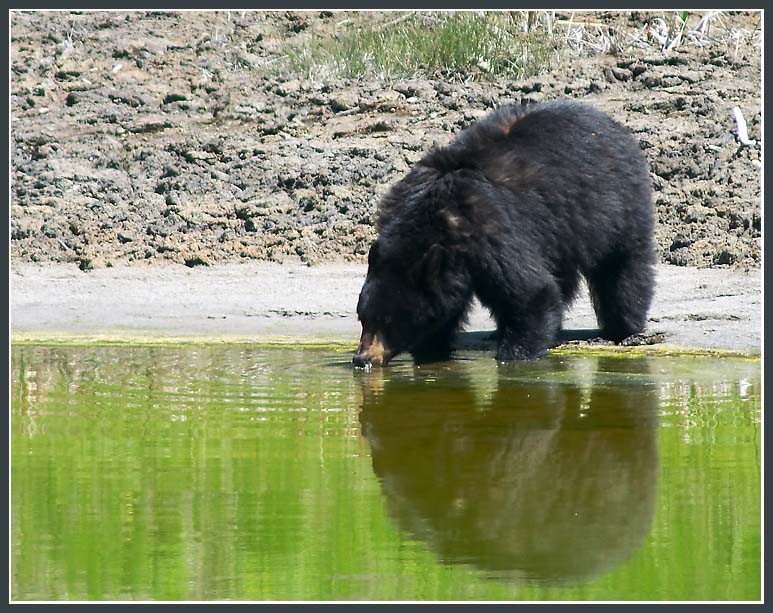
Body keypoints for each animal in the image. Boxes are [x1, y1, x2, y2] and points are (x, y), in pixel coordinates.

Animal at [352, 100, 656, 366]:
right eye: (363, 318)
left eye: (390, 322)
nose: (362, 359)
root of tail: (612, 124)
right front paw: (432, 349)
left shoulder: (493, 232)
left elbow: (531, 292)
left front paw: (514, 354)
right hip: (562, 231)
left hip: (614, 206)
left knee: (622, 268)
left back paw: (623, 328)